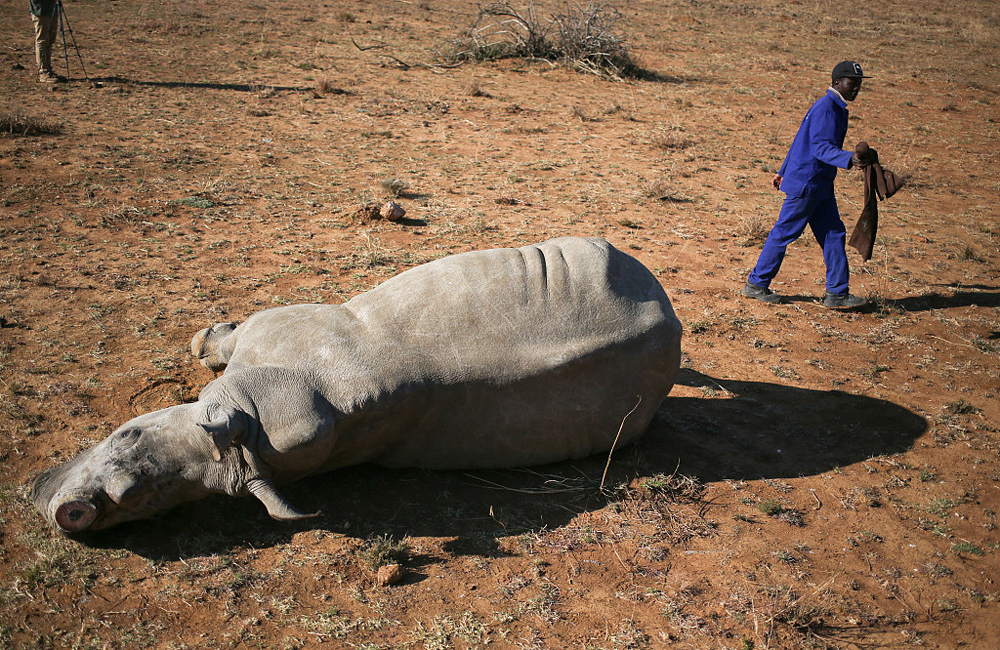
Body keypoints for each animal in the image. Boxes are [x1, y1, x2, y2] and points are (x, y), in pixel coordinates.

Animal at [35, 238, 684, 532]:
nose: (70, 513)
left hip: (614, 267)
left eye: (127, 432)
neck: (242, 422)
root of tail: (674, 320)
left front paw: (204, 341)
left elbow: (227, 340)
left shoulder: (278, 333)